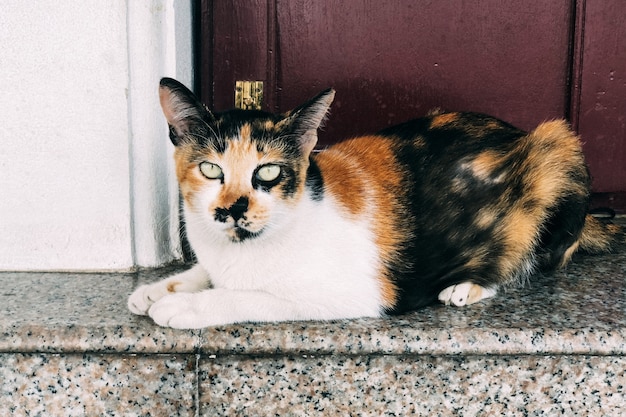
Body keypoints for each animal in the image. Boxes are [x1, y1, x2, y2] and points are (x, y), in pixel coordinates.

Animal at [125, 76, 620, 326]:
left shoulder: (355, 292)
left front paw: (185, 306)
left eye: (268, 172)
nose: (232, 209)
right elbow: (206, 272)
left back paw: (466, 286)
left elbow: (256, 297)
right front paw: (159, 289)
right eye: (211, 169)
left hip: (558, 147)